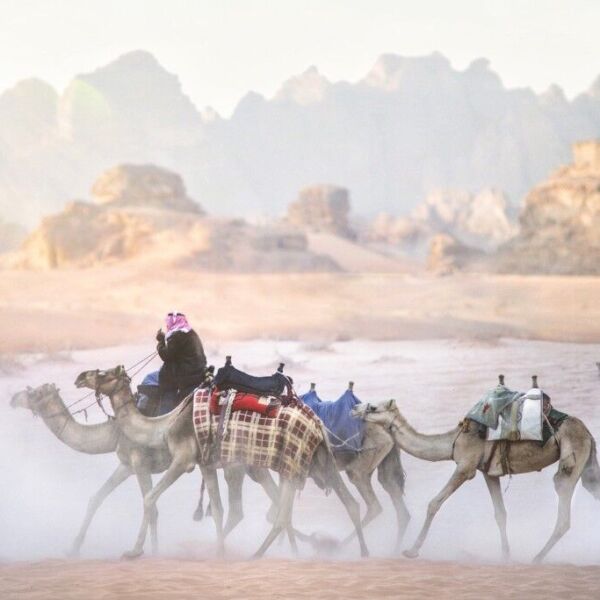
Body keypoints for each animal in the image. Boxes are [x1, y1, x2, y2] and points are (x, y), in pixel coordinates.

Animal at [9, 382, 276, 556]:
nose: (12, 399)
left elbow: (151, 504)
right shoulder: (126, 465)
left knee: (240, 508)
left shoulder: (140, 463)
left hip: (234, 464)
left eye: (33, 393)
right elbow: (97, 498)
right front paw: (72, 547)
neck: (115, 432)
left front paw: (148, 550)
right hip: (252, 464)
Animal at [72, 366, 368, 556]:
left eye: (103, 373)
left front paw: (134, 551)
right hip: (313, 460)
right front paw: (219, 550)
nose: (79, 377)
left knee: (283, 511)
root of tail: (316, 421)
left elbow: (150, 498)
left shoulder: (185, 460)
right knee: (339, 505)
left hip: (291, 462)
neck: (163, 425)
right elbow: (218, 509)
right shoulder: (206, 464)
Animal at [352, 398, 600, 564]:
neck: (454, 440)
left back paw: (537, 558)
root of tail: (588, 433)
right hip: (588, 465)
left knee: (563, 512)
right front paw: (505, 556)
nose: (354, 409)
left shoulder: (465, 467)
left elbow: (434, 503)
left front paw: (411, 551)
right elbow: (500, 514)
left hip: (572, 457)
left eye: (373, 407)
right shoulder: (488, 472)